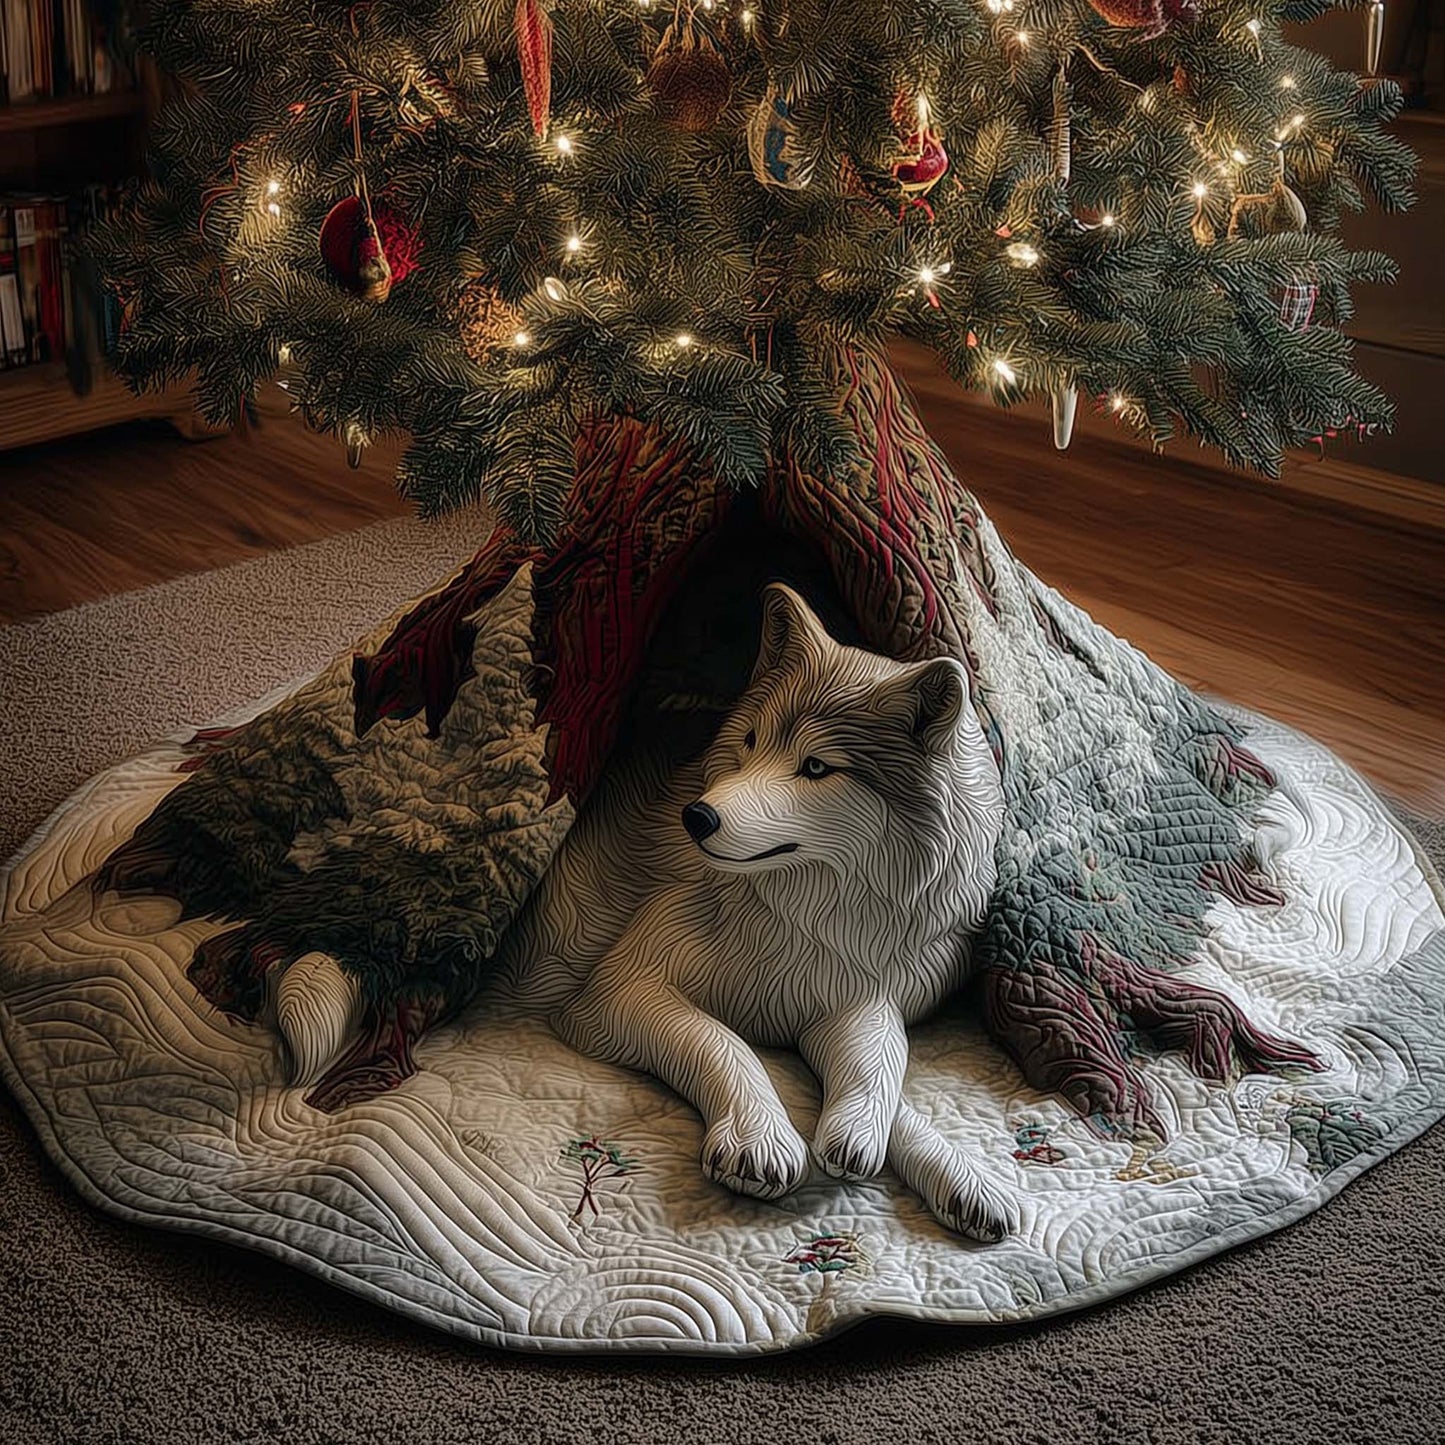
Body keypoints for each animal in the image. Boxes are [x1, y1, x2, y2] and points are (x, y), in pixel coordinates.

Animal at [500, 582, 1016, 1241]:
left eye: (817, 767)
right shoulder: (621, 988)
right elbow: (723, 1044)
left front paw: (946, 1173)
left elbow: (883, 1062)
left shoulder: (848, 993)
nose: (696, 817)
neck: (800, 915)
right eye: (749, 743)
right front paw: (760, 1140)